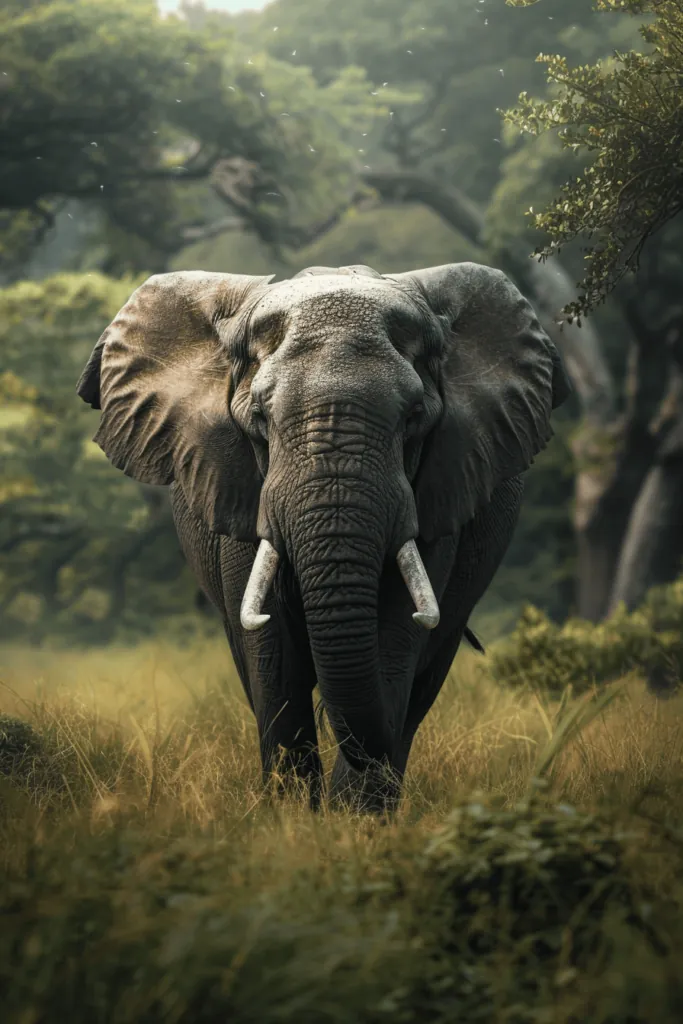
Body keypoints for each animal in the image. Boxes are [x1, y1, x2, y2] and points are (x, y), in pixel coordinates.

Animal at [77, 261, 571, 813]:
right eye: (260, 418)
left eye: (414, 419)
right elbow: (272, 655)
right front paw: (293, 817)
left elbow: (396, 636)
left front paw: (357, 821)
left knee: (424, 680)